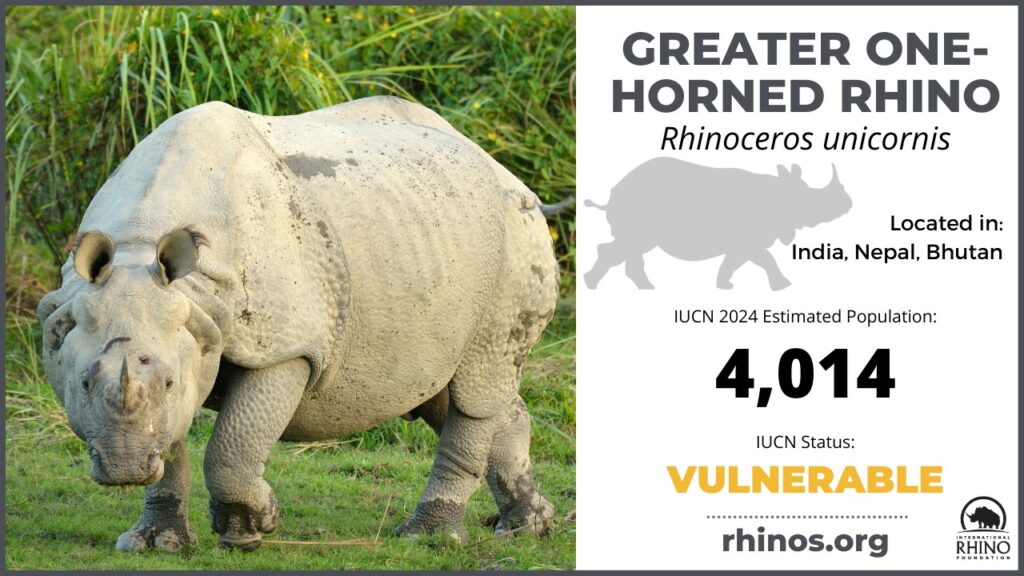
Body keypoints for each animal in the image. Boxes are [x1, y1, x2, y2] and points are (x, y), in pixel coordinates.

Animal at [37, 97, 564, 552]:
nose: (124, 467)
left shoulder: (286, 344)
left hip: (514, 239)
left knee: (478, 382)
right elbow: (170, 439)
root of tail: (506, 171)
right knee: (450, 388)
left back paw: (428, 538)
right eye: (83, 383)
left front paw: (249, 529)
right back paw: (527, 527)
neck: (140, 246)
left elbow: (233, 444)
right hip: (434, 232)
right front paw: (156, 543)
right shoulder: (190, 328)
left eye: (167, 382)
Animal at [583, 157, 852, 290]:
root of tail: (612, 194)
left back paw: (642, 287)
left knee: (631, 247)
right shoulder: (750, 238)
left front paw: (724, 285)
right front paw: (783, 286)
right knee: (631, 245)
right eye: (810, 200)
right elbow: (765, 259)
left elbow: (736, 262)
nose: (847, 203)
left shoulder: (744, 241)